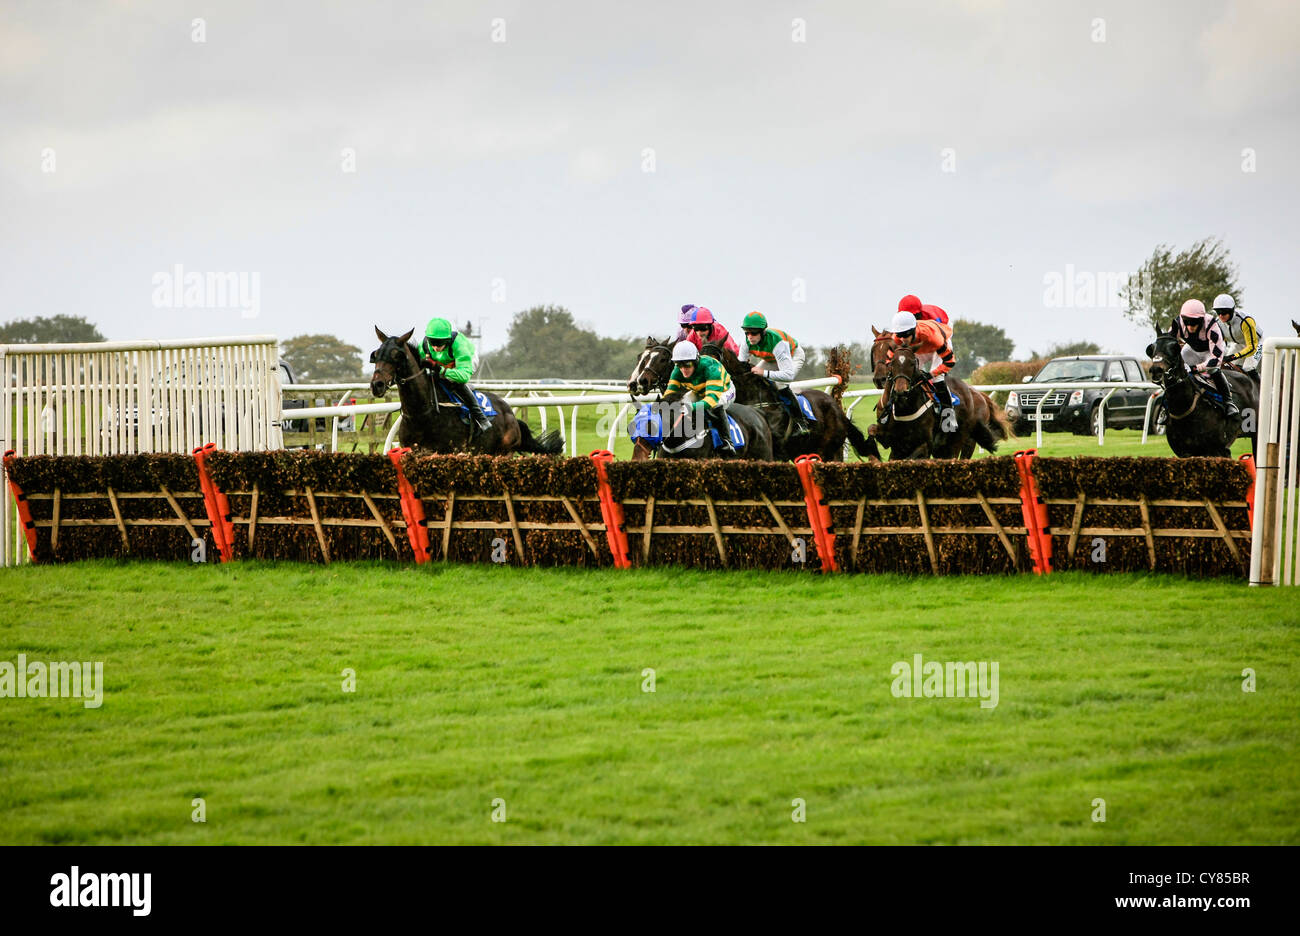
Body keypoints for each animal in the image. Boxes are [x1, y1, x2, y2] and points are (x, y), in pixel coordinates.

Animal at [371, 328, 564, 457]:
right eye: (376, 354)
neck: (422, 413)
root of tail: (511, 414)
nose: (377, 385)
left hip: (504, 452)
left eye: (397, 355)